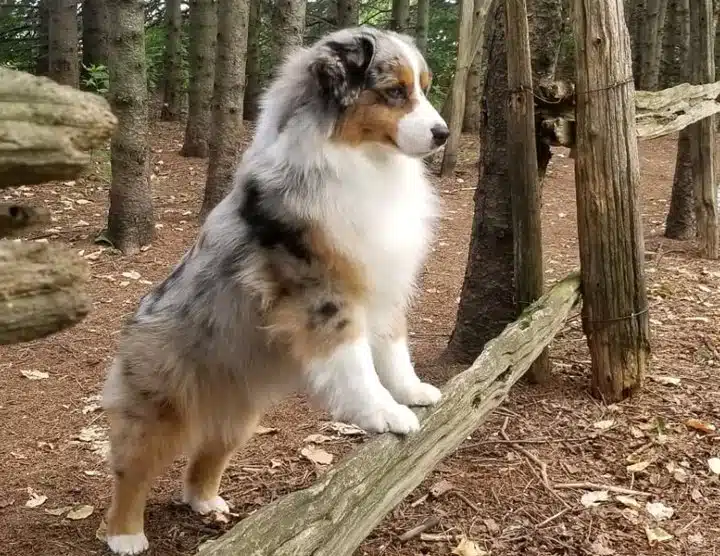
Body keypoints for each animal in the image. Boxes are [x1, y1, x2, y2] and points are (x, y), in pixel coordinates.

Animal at [101, 25, 450, 552]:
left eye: (424, 88)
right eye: (394, 92)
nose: (443, 133)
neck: (364, 161)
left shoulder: (382, 282)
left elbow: (393, 349)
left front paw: (411, 392)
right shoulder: (322, 292)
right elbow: (355, 361)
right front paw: (383, 413)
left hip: (239, 413)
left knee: (209, 452)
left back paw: (205, 500)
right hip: (161, 402)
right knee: (133, 468)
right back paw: (125, 535)